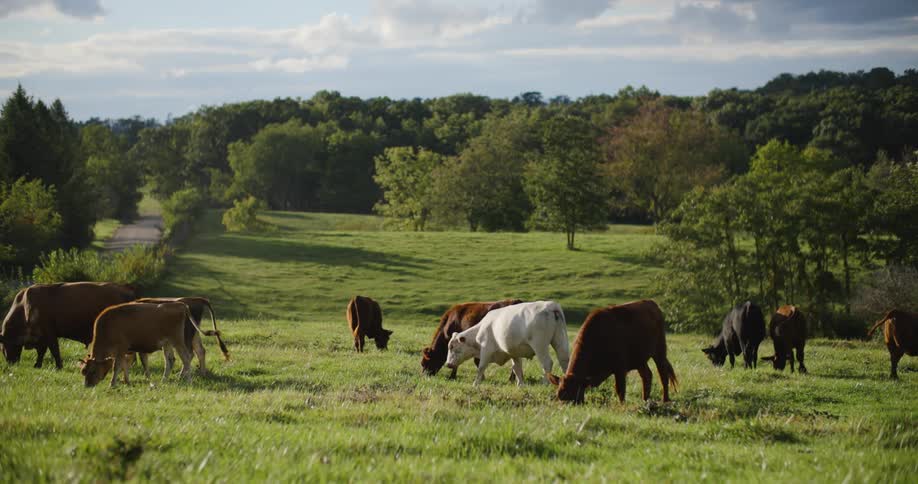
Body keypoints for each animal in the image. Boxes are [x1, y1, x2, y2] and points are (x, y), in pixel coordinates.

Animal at [1, 282, 136, 369]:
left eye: (3, 345)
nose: (10, 363)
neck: (25, 306)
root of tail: (126, 290)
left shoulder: (49, 333)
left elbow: (54, 350)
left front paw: (58, 366)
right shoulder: (42, 337)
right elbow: (42, 352)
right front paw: (37, 365)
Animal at [80, 301, 221, 387]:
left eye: (93, 371)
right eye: (83, 371)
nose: (87, 385)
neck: (107, 326)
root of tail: (180, 304)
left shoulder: (121, 349)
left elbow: (117, 366)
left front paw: (112, 384)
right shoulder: (125, 351)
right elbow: (125, 365)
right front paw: (126, 381)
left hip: (177, 341)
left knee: (186, 358)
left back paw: (188, 380)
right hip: (167, 343)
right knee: (170, 360)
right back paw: (164, 380)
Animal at [548, 300, 677, 404]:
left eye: (574, 395)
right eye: (559, 396)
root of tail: (652, 304)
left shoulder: (620, 368)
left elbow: (620, 390)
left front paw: (621, 406)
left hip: (660, 351)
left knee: (663, 375)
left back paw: (665, 400)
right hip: (639, 359)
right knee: (647, 375)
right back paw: (645, 400)